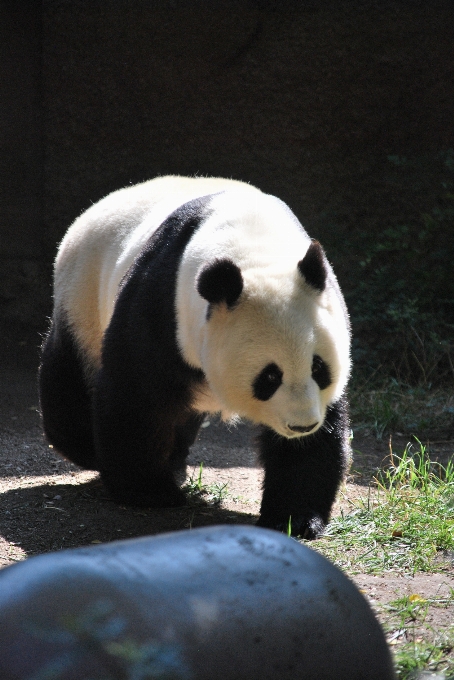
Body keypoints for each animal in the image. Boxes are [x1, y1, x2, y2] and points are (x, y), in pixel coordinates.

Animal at [39, 175, 352, 536]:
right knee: (70, 384)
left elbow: (317, 441)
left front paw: (294, 518)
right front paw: (149, 491)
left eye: (319, 368)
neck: (255, 248)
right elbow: (137, 395)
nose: (302, 425)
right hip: (83, 299)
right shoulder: (163, 303)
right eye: (270, 376)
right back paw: (91, 448)